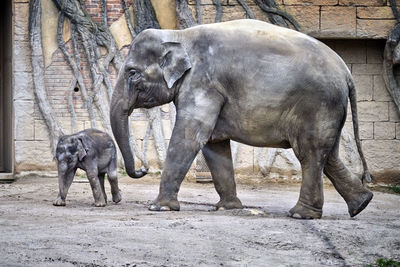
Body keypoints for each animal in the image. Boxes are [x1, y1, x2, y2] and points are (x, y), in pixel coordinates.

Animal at [109, 19, 372, 220]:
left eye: (132, 73)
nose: (143, 169)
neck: (179, 35)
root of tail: (346, 73)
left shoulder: (203, 82)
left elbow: (190, 136)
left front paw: (158, 207)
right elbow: (214, 144)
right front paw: (226, 208)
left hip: (318, 105)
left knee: (310, 152)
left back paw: (300, 214)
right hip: (329, 110)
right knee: (328, 155)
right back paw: (361, 204)